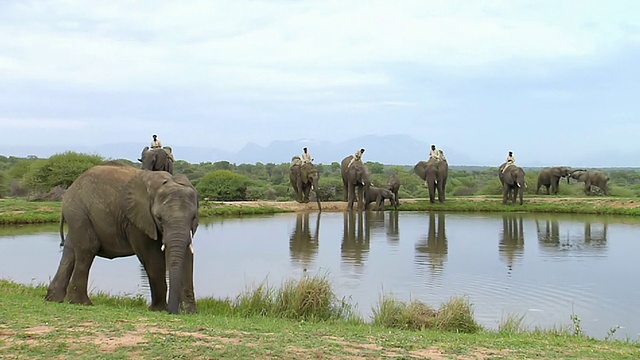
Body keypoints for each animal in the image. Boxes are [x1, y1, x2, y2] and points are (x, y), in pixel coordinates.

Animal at [45, 161, 199, 316]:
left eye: (193, 217)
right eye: (159, 218)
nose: (174, 312)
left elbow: (187, 255)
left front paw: (190, 312)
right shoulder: (137, 219)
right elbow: (151, 256)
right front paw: (159, 309)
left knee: (70, 250)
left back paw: (54, 299)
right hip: (78, 212)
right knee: (87, 248)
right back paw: (80, 302)